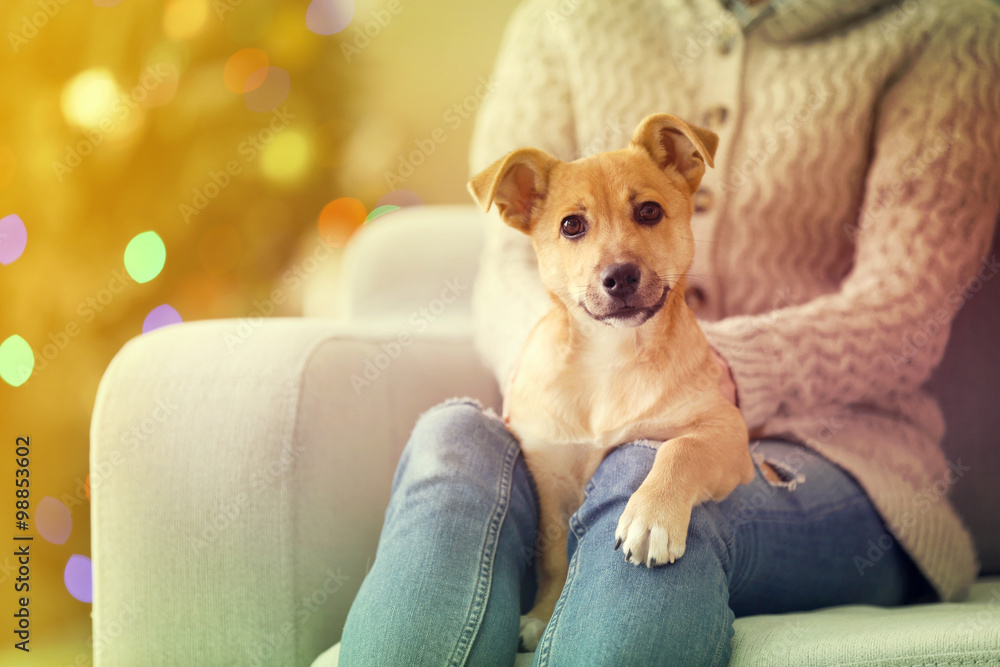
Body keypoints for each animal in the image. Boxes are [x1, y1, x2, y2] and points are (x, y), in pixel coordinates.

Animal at [472, 112, 752, 648]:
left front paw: (651, 517)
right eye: (571, 225)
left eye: (649, 211)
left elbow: (680, 448)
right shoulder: (550, 475)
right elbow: (553, 552)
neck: (610, 356)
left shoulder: (728, 431)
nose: (620, 276)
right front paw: (544, 612)